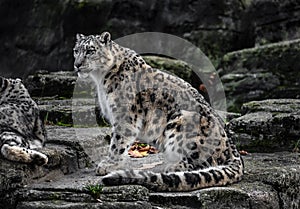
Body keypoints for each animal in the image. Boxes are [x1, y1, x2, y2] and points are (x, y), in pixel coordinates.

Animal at [73, 31, 244, 191]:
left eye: (90, 50)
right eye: (76, 50)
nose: (77, 64)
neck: (100, 79)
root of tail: (234, 152)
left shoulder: (124, 115)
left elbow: (118, 141)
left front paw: (108, 164)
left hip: (182, 123)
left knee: (197, 163)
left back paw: (171, 167)